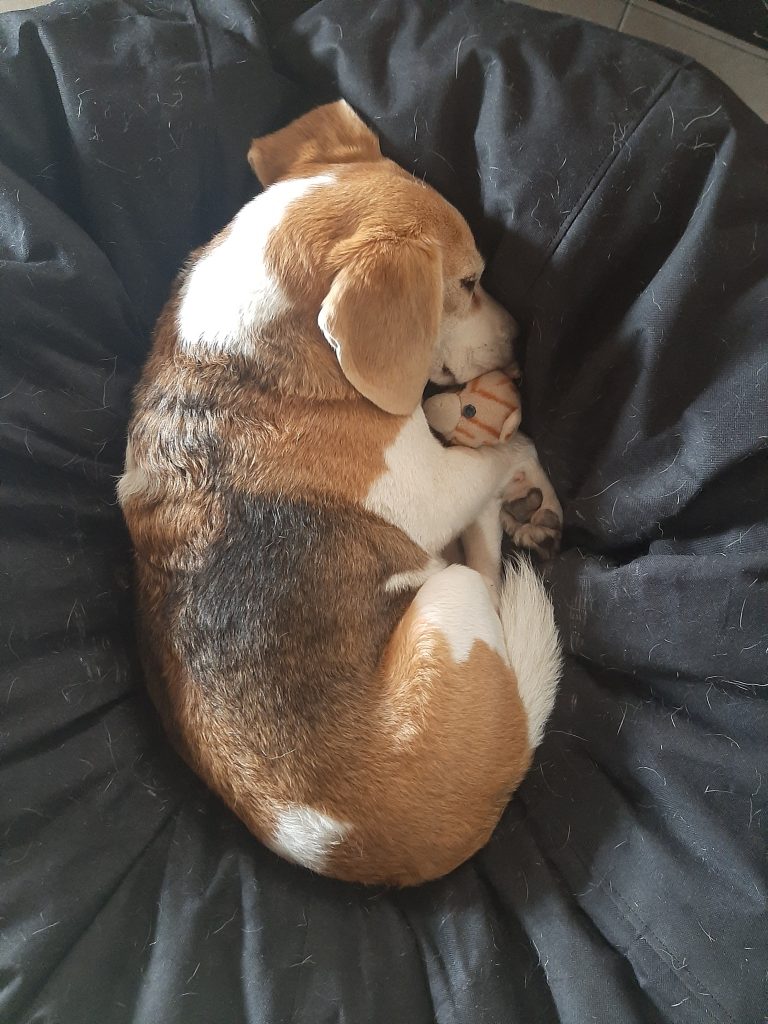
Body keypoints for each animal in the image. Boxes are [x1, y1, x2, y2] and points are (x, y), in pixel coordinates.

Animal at [120, 101, 565, 888]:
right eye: (468, 283)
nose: (518, 344)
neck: (256, 350)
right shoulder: (431, 487)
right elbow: (508, 451)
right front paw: (523, 476)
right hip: (450, 599)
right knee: (480, 567)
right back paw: (514, 513)